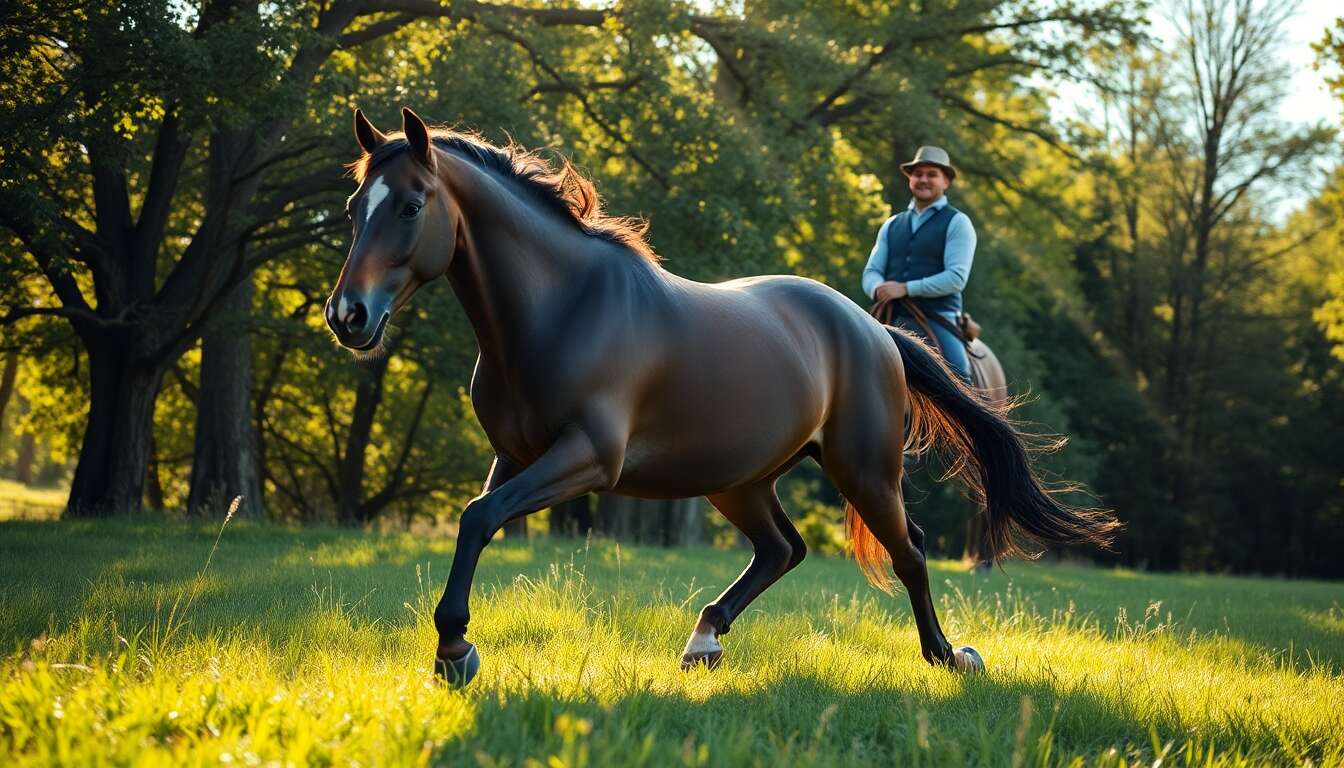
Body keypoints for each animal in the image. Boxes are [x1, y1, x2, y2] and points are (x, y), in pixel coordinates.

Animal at [324, 107, 1119, 686]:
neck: (562, 308)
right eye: (356, 205)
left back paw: (947, 656)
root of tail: (872, 330)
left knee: (910, 553)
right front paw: (452, 650)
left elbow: (476, 517)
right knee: (783, 549)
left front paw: (455, 651)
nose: (347, 316)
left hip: (863, 470)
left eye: (412, 206)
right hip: (739, 480)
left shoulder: (588, 458)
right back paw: (704, 638)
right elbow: (477, 520)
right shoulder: (515, 456)